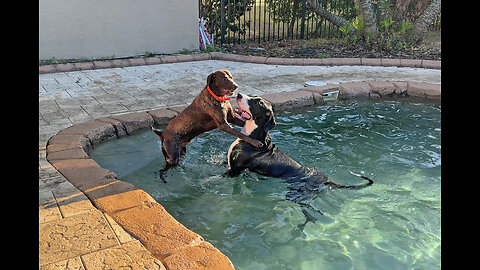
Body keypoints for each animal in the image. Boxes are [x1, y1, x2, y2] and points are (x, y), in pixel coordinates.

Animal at [227, 94, 374, 225]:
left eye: (258, 103)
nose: (239, 94)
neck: (254, 136)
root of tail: (326, 181)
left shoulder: (234, 170)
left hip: (297, 196)